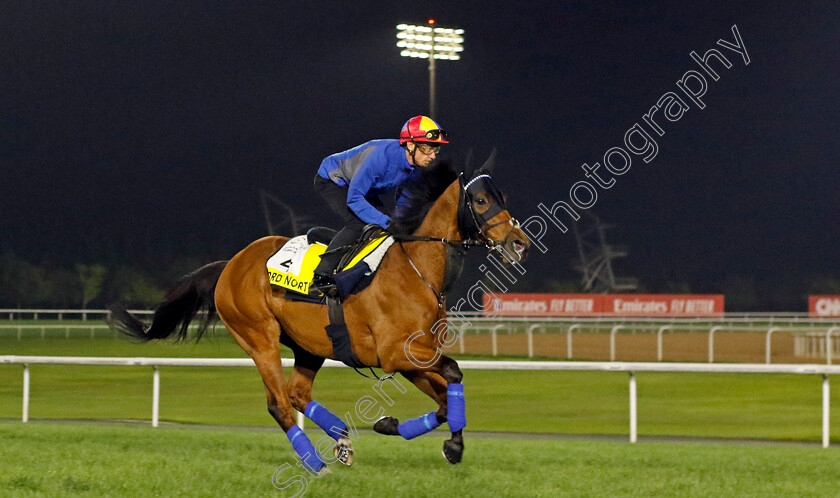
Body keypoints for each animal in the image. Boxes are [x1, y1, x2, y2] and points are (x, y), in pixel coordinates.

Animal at [110, 158, 532, 472]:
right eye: (480, 200)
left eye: (502, 196)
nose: (519, 243)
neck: (415, 269)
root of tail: (230, 264)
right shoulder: (396, 353)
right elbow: (454, 373)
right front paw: (449, 445)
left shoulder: (412, 356)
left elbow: (446, 400)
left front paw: (401, 428)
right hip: (259, 337)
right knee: (279, 402)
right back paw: (314, 462)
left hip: (309, 345)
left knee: (298, 394)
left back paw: (342, 439)